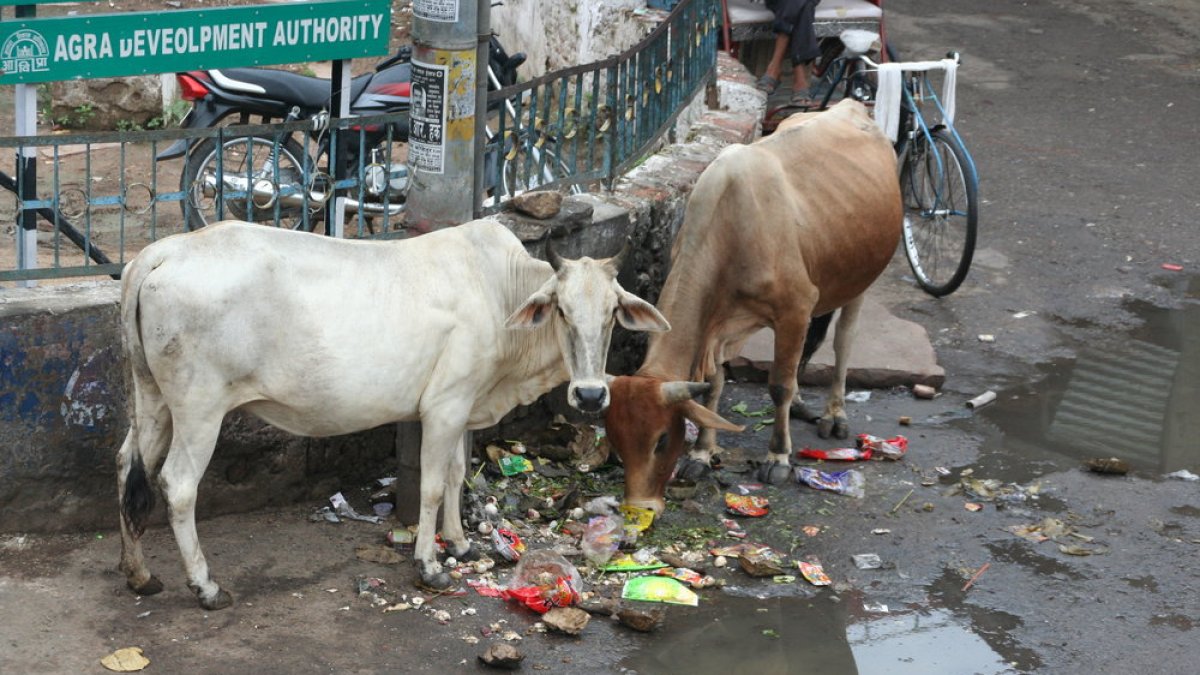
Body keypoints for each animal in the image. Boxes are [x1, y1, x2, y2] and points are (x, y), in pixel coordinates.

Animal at [116, 219, 669, 609]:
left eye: (612, 314)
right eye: (561, 311)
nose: (591, 396)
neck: (499, 293)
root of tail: (163, 250)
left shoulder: (464, 406)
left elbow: (457, 475)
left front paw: (461, 544)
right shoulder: (444, 406)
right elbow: (431, 484)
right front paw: (430, 564)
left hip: (152, 399)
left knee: (127, 467)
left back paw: (138, 574)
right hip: (200, 407)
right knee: (178, 485)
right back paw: (205, 587)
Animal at [604, 99, 902, 513]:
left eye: (661, 440)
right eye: (615, 440)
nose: (639, 507)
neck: (732, 225)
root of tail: (850, 105)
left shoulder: (794, 309)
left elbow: (778, 385)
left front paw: (778, 458)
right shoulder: (719, 325)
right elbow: (712, 386)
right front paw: (701, 454)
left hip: (860, 279)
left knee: (843, 342)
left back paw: (834, 414)